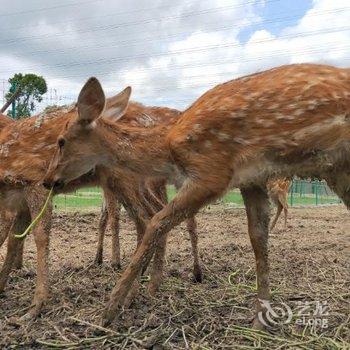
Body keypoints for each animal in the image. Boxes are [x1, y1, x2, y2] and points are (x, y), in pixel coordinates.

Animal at [43, 63, 350, 328]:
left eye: (61, 141)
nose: (47, 181)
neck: (168, 147)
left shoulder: (211, 172)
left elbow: (156, 223)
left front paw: (111, 309)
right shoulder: (251, 179)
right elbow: (258, 239)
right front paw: (259, 320)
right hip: (336, 168)